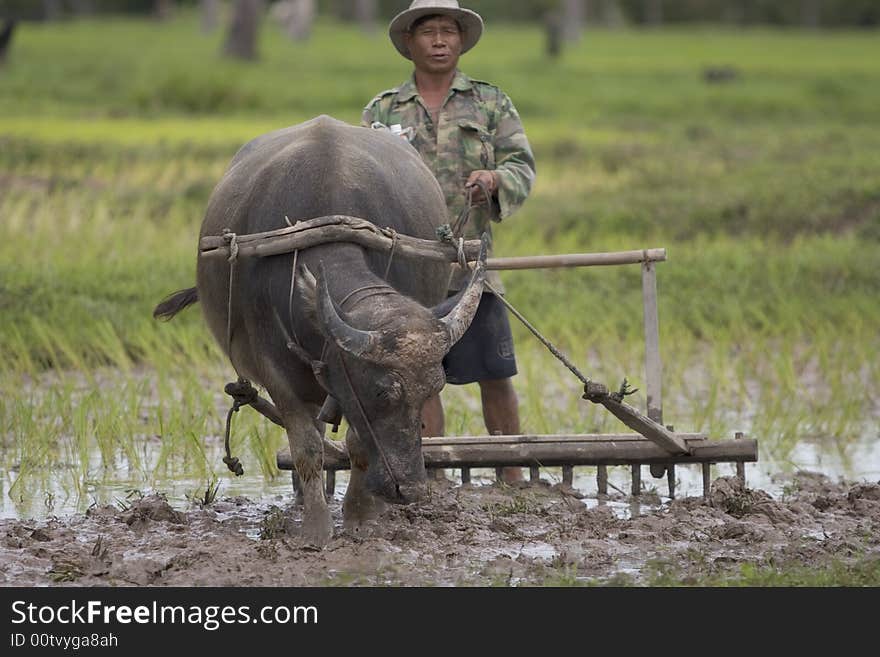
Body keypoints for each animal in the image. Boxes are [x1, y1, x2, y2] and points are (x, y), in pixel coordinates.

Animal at [156, 116, 484, 544]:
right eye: (382, 393)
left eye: (433, 389)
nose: (411, 490)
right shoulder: (274, 367)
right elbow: (307, 448)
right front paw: (316, 528)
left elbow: (358, 446)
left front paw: (360, 516)